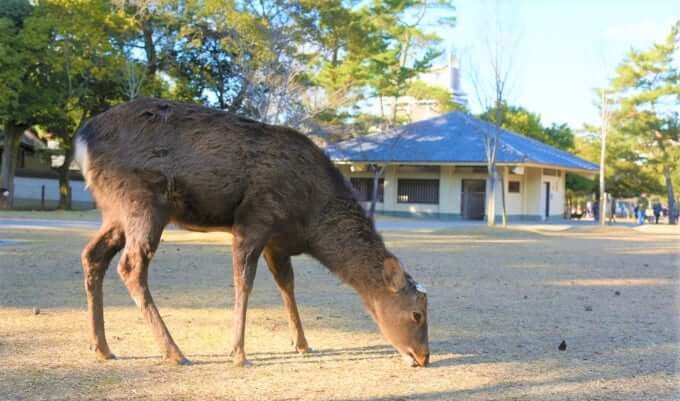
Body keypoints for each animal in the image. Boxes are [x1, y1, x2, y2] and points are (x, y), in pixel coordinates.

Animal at [73, 97, 424, 366]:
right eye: (418, 314)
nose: (423, 357)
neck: (310, 225)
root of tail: (81, 141)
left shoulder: (278, 243)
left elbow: (287, 286)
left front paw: (302, 343)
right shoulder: (255, 219)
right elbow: (244, 283)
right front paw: (239, 354)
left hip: (114, 211)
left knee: (93, 255)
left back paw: (102, 348)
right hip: (143, 201)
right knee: (130, 266)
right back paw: (174, 352)